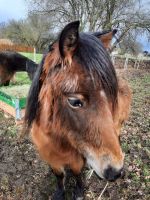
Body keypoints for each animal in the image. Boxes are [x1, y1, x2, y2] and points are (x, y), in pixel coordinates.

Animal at [24, 21, 131, 199]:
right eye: (75, 101)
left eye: (110, 95)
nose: (116, 172)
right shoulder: (52, 158)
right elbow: (59, 175)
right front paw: (60, 193)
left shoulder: (77, 157)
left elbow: (76, 173)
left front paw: (79, 191)